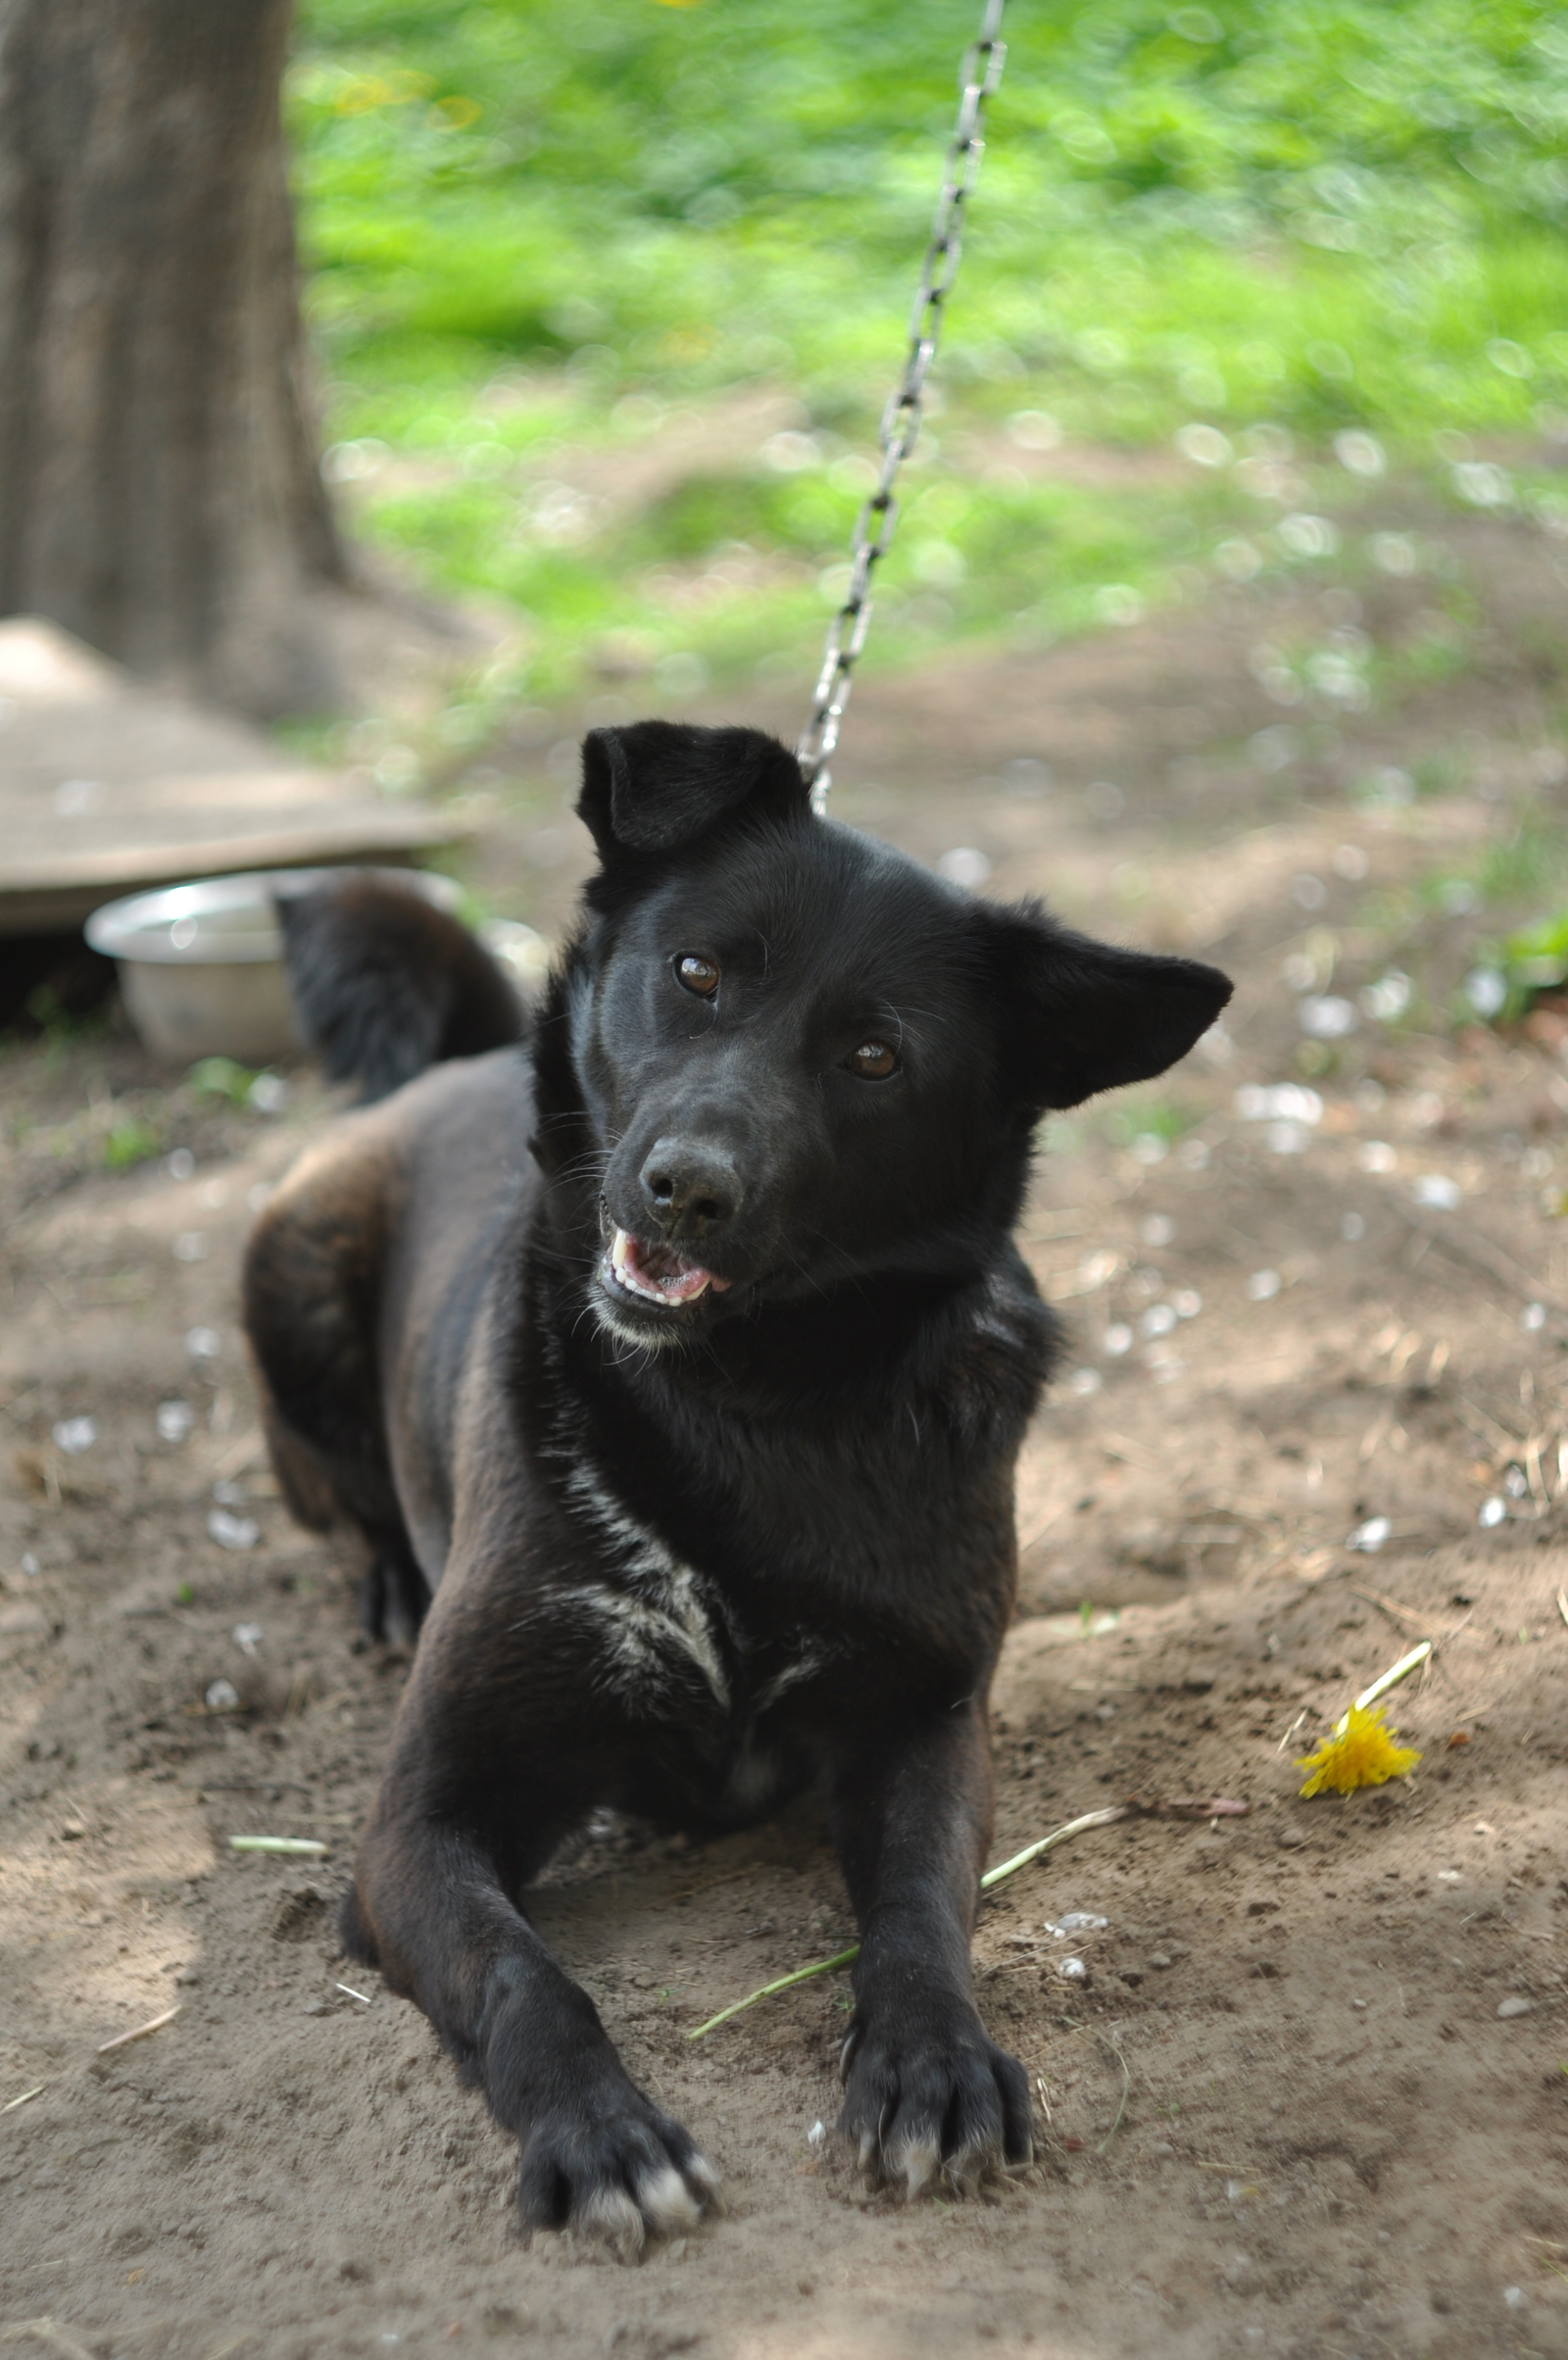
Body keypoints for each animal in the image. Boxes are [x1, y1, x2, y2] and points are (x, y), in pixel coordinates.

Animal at [241, 721, 1228, 2265]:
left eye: (876, 1055)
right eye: (698, 971)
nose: (685, 1189)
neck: (749, 1406)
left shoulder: (929, 1718)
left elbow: (920, 1911)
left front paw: (933, 2059)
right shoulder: (418, 1823)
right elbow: (523, 1972)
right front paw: (601, 2133)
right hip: (285, 1275)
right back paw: (390, 1576)